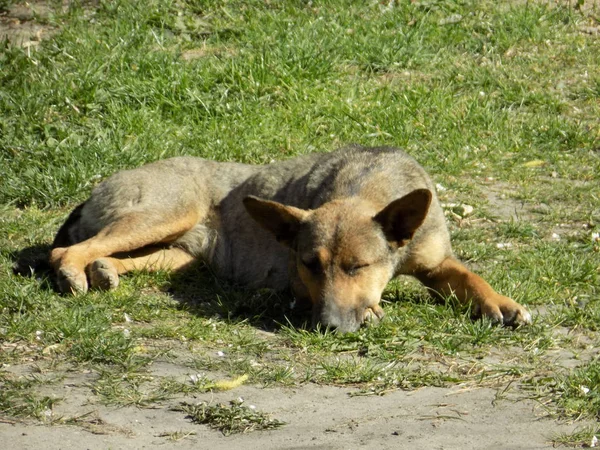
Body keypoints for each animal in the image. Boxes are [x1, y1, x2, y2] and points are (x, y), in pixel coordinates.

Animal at [50, 146, 528, 332]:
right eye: (310, 265)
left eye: (357, 266)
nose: (328, 326)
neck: (367, 186)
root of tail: (95, 189)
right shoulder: (297, 277)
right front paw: (370, 311)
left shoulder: (436, 263)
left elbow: (470, 278)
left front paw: (500, 304)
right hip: (165, 213)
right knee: (64, 250)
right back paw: (72, 273)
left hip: (180, 254)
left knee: (113, 255)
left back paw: (105, 271)